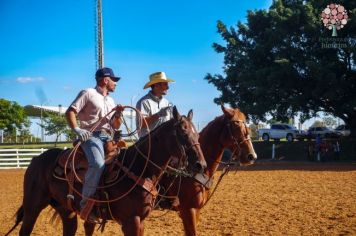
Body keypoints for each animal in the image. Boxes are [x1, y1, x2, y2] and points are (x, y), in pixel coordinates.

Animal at [4, 107, 206, 236]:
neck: (138, 168)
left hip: (66, 210)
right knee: (24, 230)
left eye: (197, 134)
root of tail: (35, 159)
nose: (200, 165)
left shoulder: (140, 221)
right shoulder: (131, 221)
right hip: (32, 206)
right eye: (183, 133)